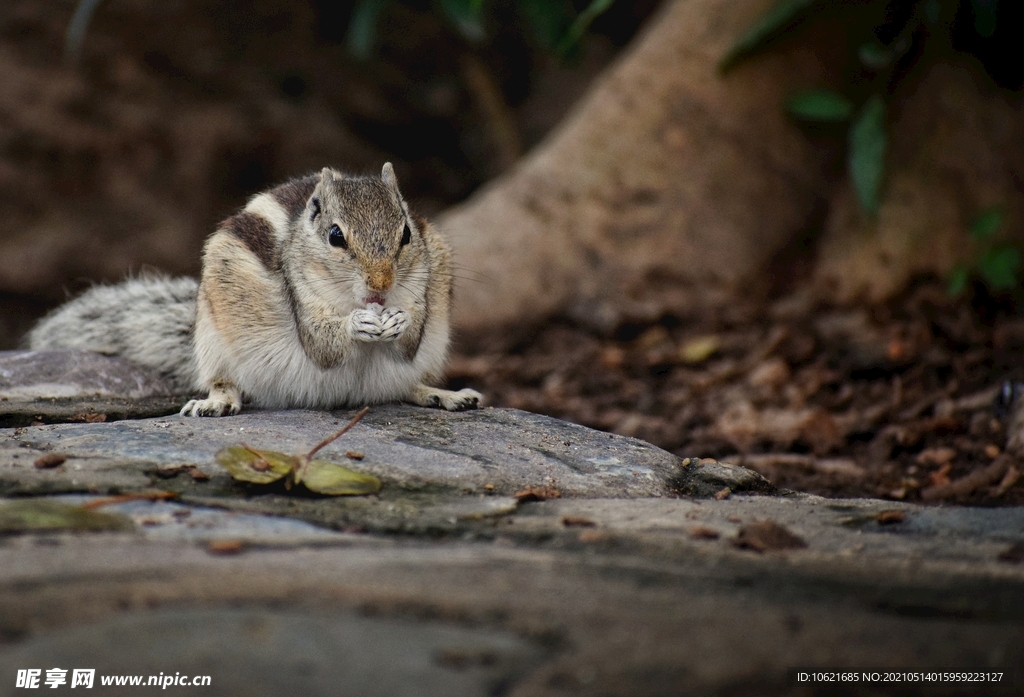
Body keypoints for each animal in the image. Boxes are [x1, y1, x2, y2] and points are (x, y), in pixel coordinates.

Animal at [28, 162, 483, 413]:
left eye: (406, 233)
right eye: (335, 236)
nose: (381, 286)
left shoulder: (424, 289)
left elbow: (409, 339)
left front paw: (399, 320)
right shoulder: (302, 296)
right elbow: (322, 345)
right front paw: (357, 324)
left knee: (407, 385)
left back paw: (444, 395)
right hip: (212, 341)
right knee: (222, 380)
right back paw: (217, 402)